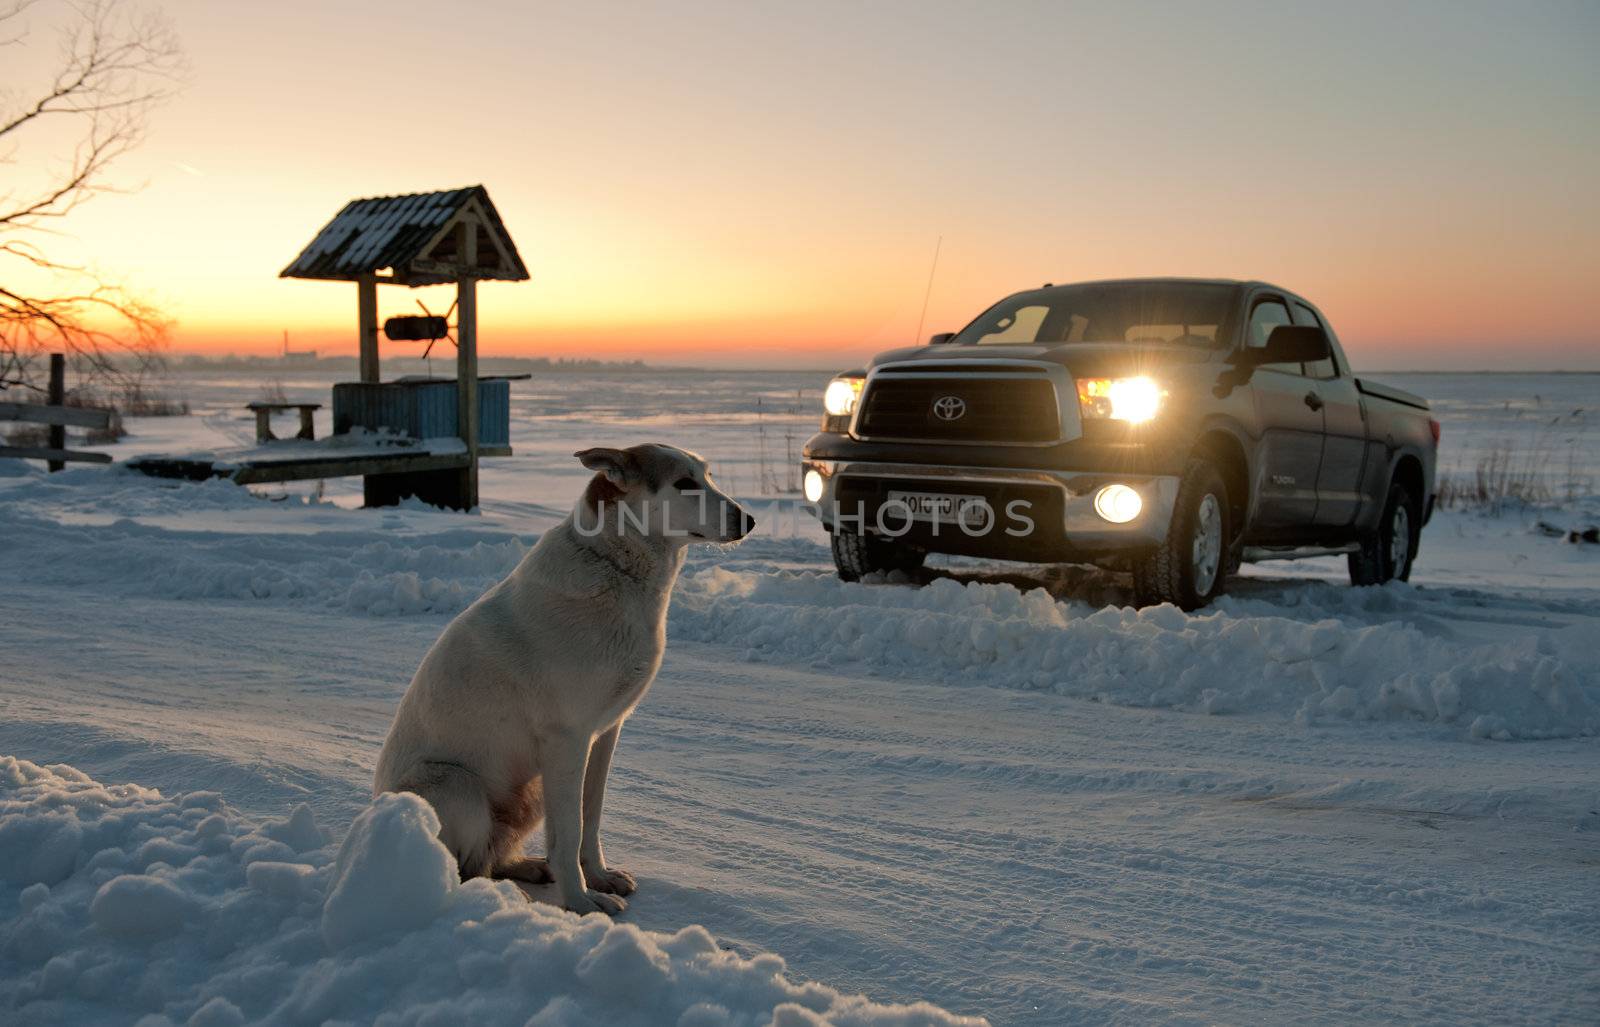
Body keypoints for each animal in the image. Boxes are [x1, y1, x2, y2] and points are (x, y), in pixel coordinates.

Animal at [374, 441, 755, 908]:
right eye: (684, 483)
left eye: (708, 476)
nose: (749, 521)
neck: (615, 565)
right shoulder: (567, 740)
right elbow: (571, 832)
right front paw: (580, 902)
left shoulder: (603, 735)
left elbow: (589, 818)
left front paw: (599, 877)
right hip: (457, 785)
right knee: (466, 867)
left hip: (531, 793)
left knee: (493, 857)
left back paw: (530, 868)